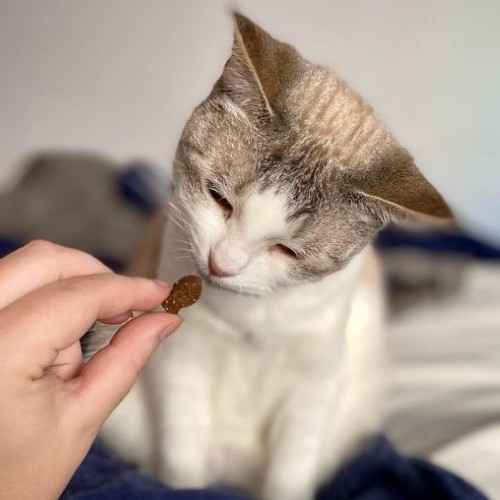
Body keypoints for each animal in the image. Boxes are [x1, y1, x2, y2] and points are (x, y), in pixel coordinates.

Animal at [98, 13, 454, 500]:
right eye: (219, 199)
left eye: (287, 249)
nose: (222, 264)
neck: (249, 317)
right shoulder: (181, 358)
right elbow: (182, 452)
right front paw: (184, 486)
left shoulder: (314, 378)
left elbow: (290, 466)